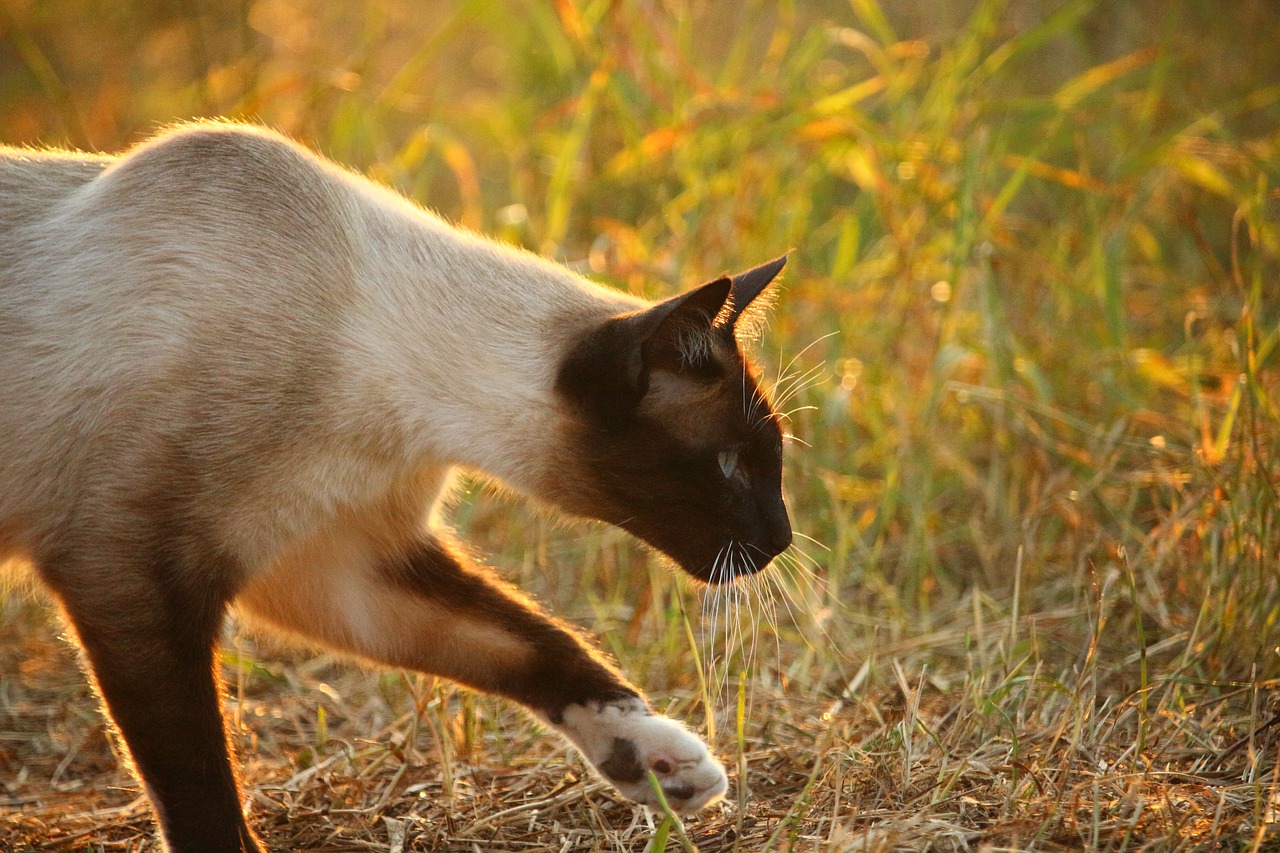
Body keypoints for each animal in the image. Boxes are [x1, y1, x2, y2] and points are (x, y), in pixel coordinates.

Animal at [0, 121, 788, 850]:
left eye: (769, 461)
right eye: (732, 465)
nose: (780, 539)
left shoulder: (342, 570)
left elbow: (539, 644)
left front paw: (659, 761)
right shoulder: (130, 574)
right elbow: (198, 786)